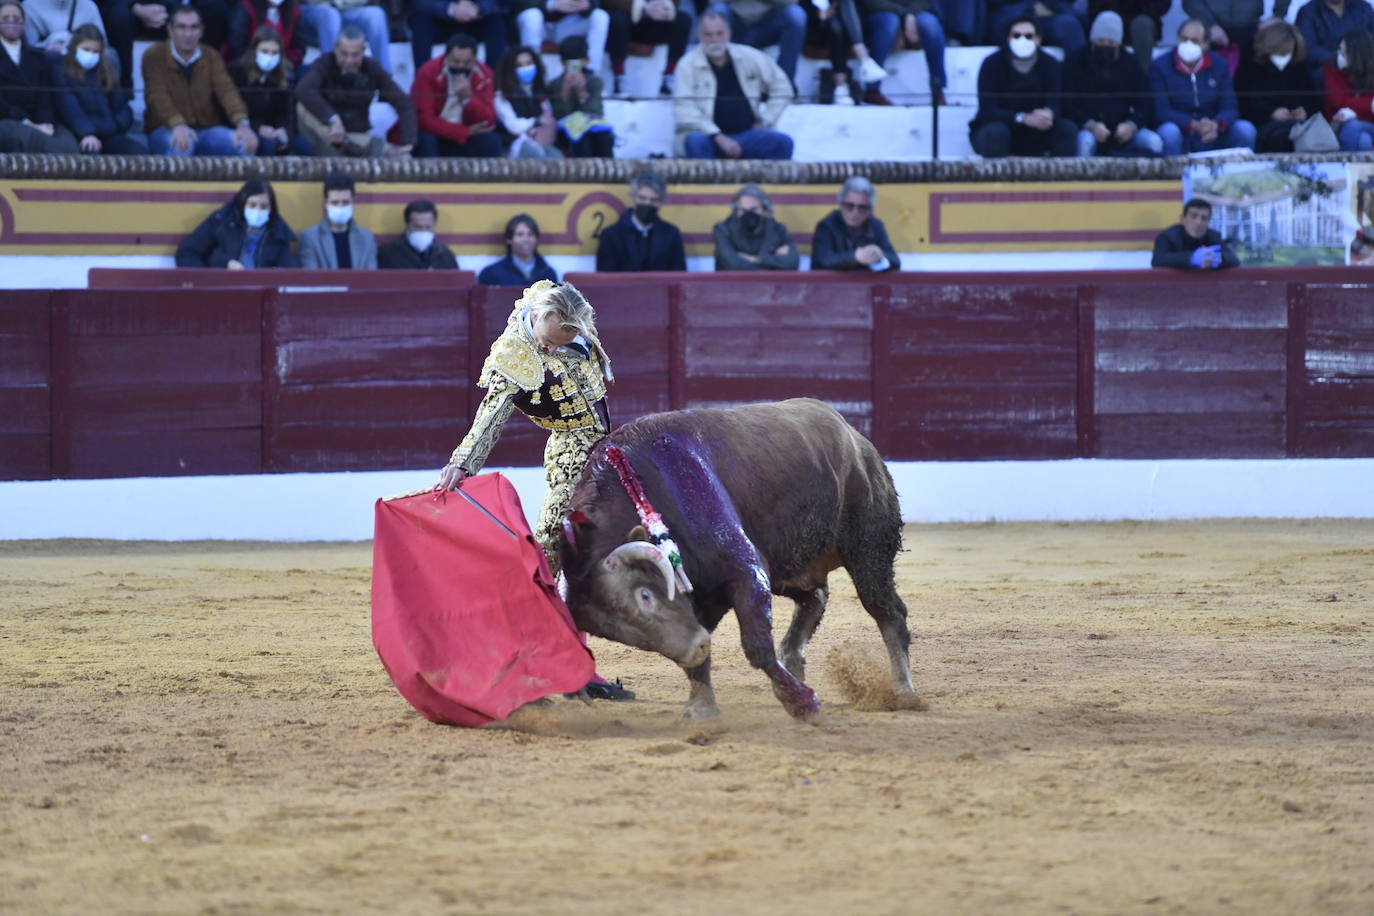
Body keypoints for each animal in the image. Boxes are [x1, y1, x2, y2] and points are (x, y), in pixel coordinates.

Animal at [557, 401, 912, 725]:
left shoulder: (747, 571)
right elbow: (703, 656)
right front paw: (701, 706)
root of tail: (857, 439)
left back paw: (902, 690)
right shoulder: (703, 596)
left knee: (887, 610)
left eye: (644, 595)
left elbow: (757, 646)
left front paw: (802, 703)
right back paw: (796, 660)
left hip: (868, 551)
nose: (695, 646)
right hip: (791, 567)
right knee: (815, 599)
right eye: (614, 632)